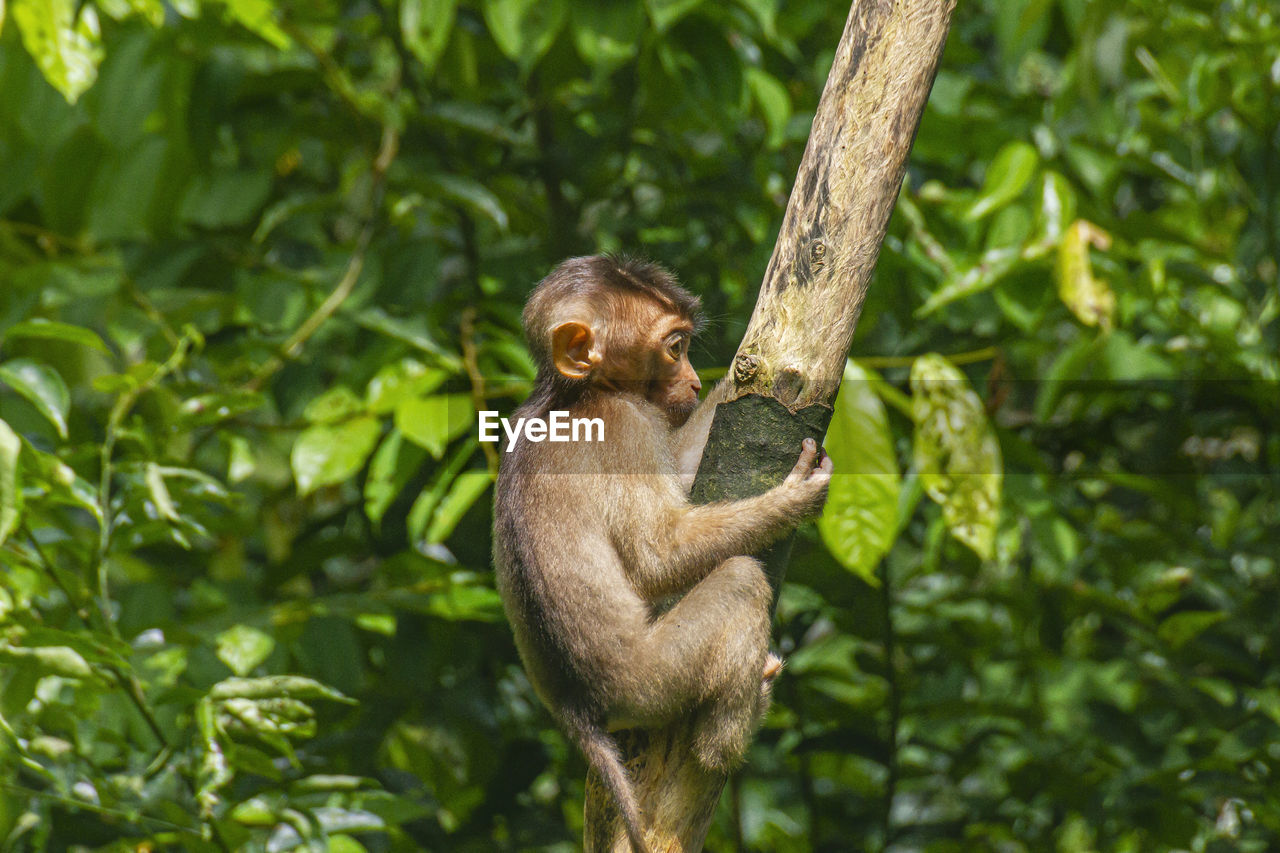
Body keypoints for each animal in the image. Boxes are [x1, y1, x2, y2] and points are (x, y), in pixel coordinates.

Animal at [488, 249, 829, 845]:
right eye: (675, 348)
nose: (693, 383)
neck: (573, 394)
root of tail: (580, 715)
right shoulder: (625, 426)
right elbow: (659, 555)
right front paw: (796, 496)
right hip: (653, 680)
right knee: (740, 580)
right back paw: (730, 737)